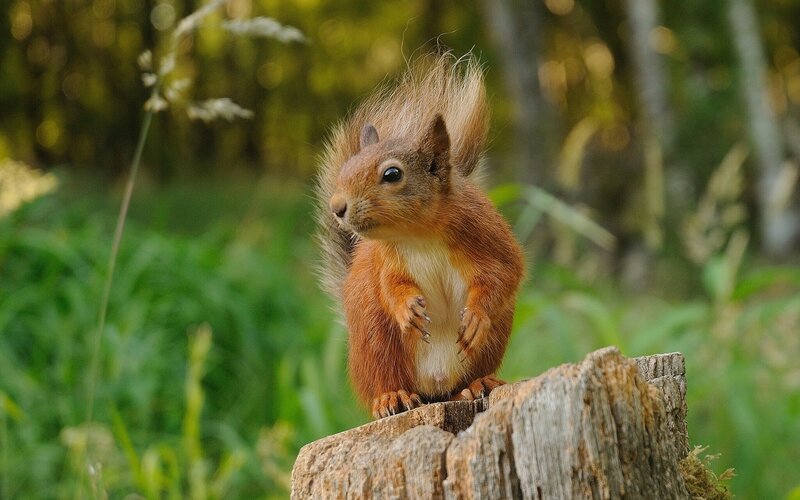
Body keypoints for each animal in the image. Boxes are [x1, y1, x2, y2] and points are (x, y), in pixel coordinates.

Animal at [316, 54, 525, 419]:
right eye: (346, 169)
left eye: (392, 174)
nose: (337, 207)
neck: (418, 235)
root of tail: (434, 387)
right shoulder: (386, 262)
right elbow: (391, 287)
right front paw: (407, 310)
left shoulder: (487, 235)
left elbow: (504, 274)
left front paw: (475, 317)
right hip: (375, 342)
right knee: (387, 380)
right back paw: (392, 397)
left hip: (490, 343)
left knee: (462, 383)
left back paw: (477, 384)